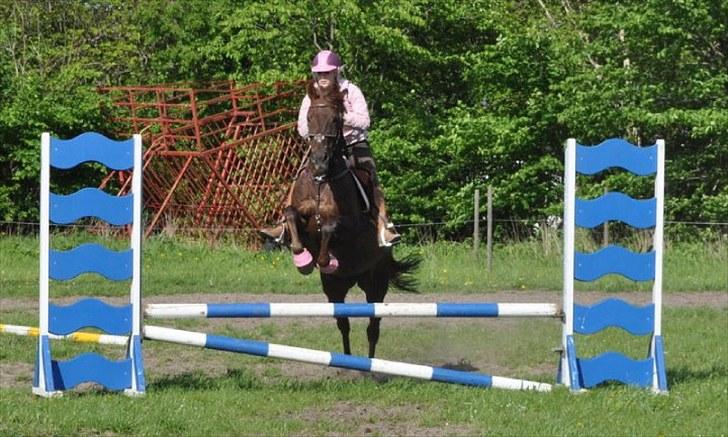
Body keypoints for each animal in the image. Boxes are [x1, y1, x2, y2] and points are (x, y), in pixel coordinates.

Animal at [284, 81, 420, 358]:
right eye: (309, 117)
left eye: (336, 119)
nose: (319, 164)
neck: (322, 182)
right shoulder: (302, 216)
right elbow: (292, 214)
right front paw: (302, 259)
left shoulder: (352, 227)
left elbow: (329, 226)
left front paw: (325, 259)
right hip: (334, 289)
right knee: (343, 324)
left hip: (376, 284)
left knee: (372, 328)